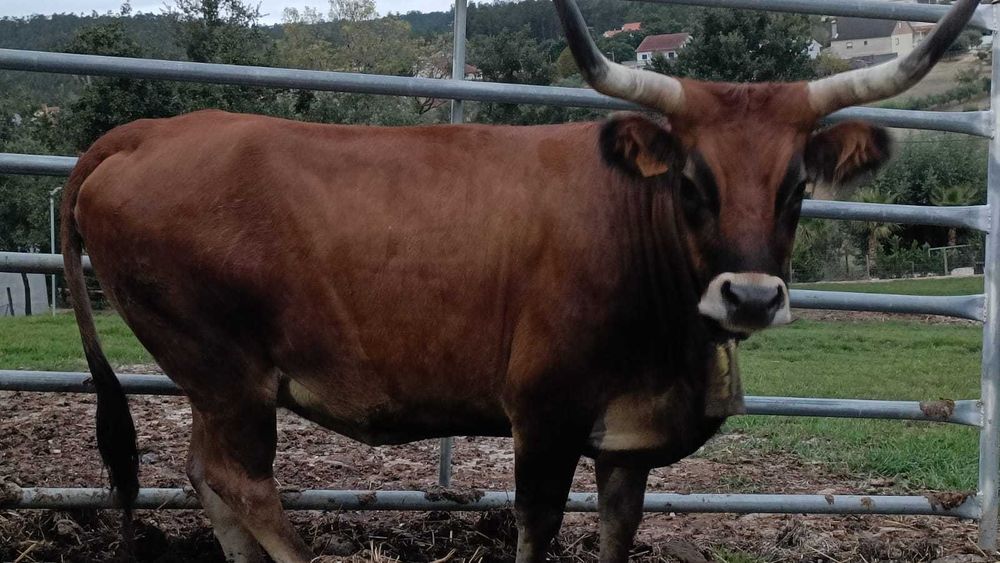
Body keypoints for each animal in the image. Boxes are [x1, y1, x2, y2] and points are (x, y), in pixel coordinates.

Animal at [61, 0, 978, 560]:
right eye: (691, 180)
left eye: (796, 186)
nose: (749, 296)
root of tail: (150, 132)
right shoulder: (543, 416)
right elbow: (537, 530)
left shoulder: (628, 440)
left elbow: (616, 534)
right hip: (229, 375)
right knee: (244, 483)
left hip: (208, 382)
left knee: (205, 475)